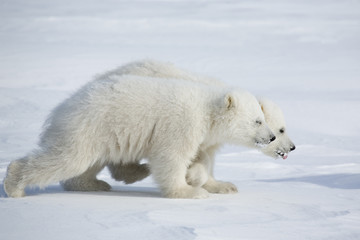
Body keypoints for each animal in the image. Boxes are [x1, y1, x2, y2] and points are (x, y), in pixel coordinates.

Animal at [3, 66, 276, 198]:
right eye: (257, 121)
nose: (272, 137)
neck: (206, 109)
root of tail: (62, 107)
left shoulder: (201, 137)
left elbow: (201, 159)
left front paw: (212, 182)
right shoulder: (181, 124)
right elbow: (171, 157)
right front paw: (188, 191)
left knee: (87, 164)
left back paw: (96, 183)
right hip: (88, 127)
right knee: (67, 159)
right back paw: (14, 185)